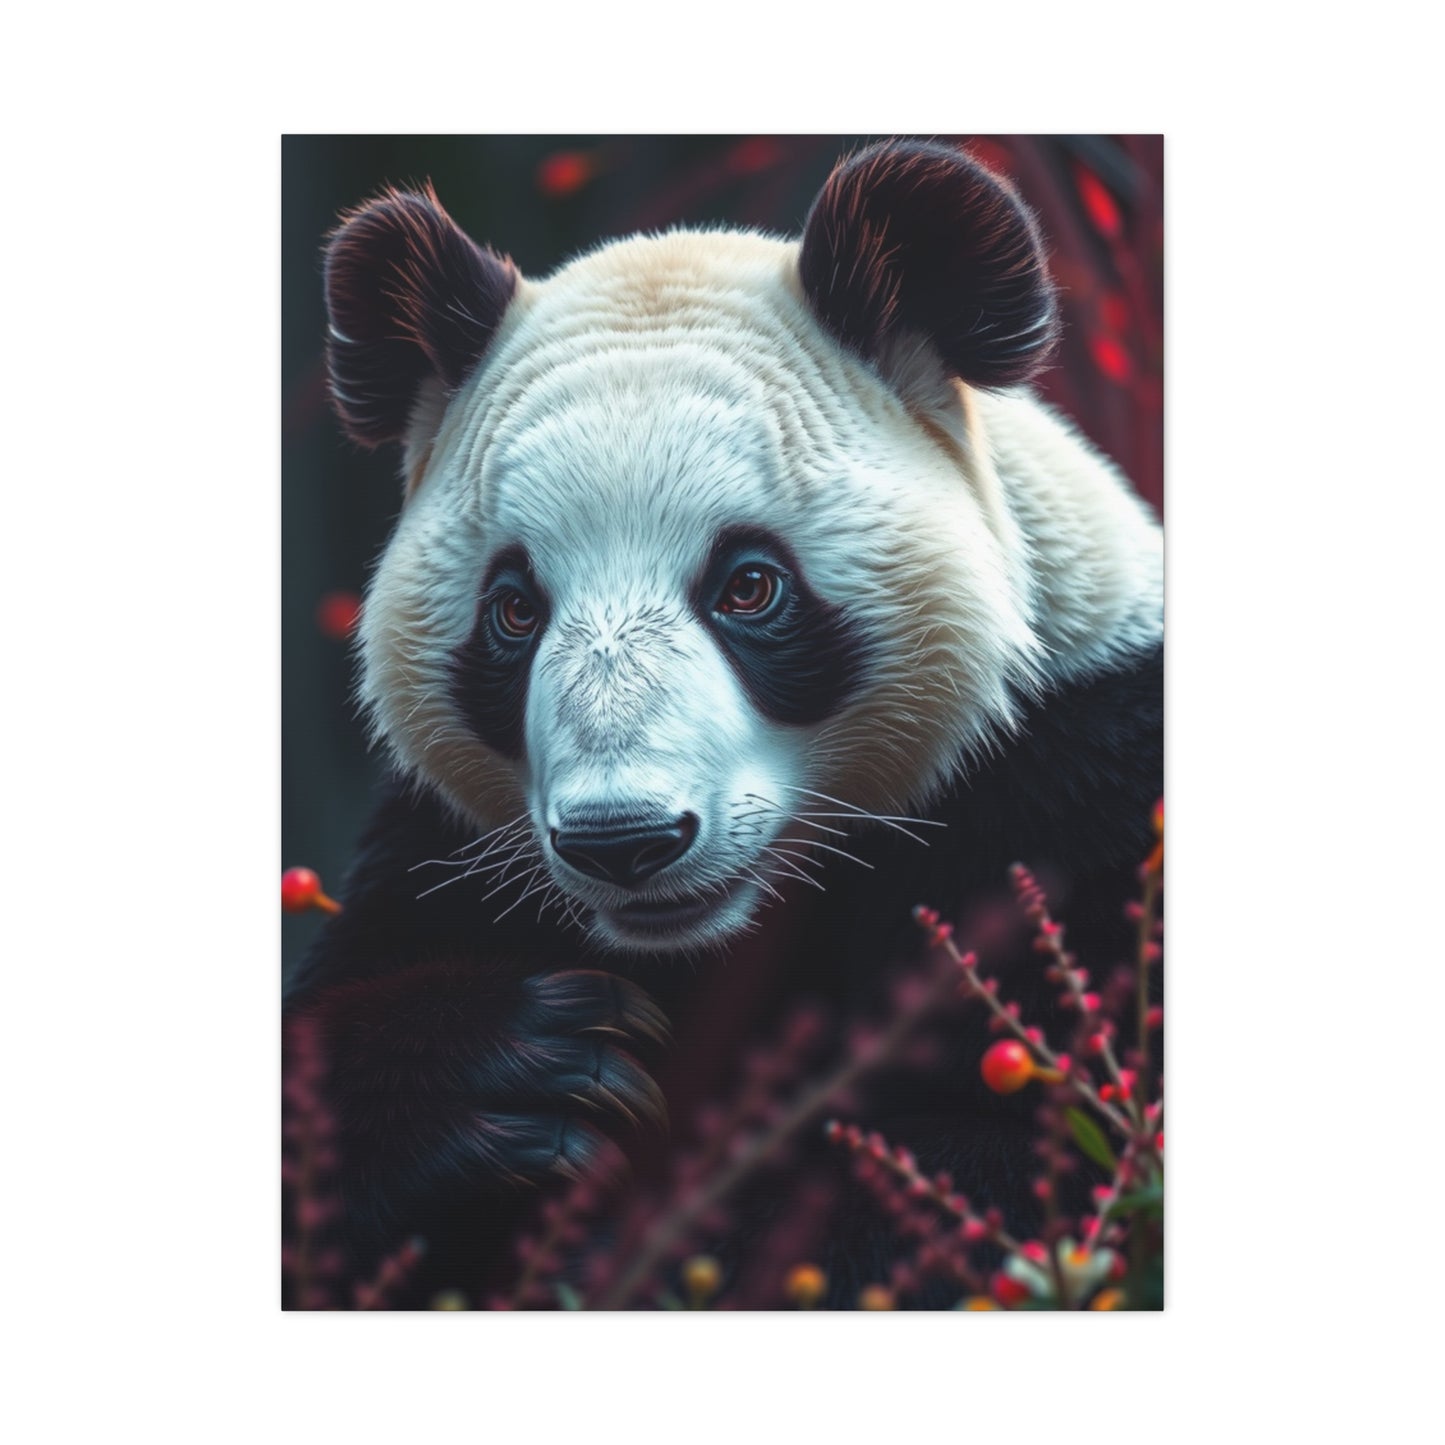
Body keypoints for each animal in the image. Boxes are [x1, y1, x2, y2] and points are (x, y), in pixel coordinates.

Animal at [285, 140, 1163, 1309]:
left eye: (748, 586)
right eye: (514, 609)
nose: (623, 839)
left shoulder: (1080, 778)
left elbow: (1018, 1158)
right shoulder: (441, 854)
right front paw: (536, 1072)